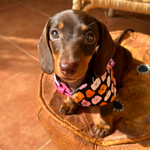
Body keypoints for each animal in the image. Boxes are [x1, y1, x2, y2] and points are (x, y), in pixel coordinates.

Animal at [37, 9, 132, 138]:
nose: (67, 68)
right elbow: (70, 95)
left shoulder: (108, 93)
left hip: (129, 57)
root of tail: (117, 43)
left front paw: (103, 126)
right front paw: (69, 103)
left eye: (90, 37)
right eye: (55, 33)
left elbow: (105, 110)